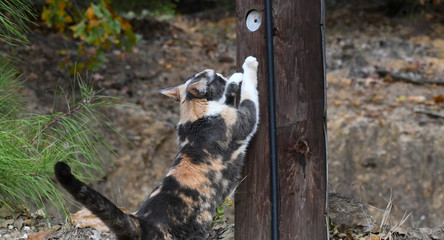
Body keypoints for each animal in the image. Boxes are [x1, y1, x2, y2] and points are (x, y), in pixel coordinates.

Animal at [53, 55, 258, 239]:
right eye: (215, 77)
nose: (221, 74)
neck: (195, 117)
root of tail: (141, 223)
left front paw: (235, 78)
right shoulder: (244, 120)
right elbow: (250, 97)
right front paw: (247, 67)